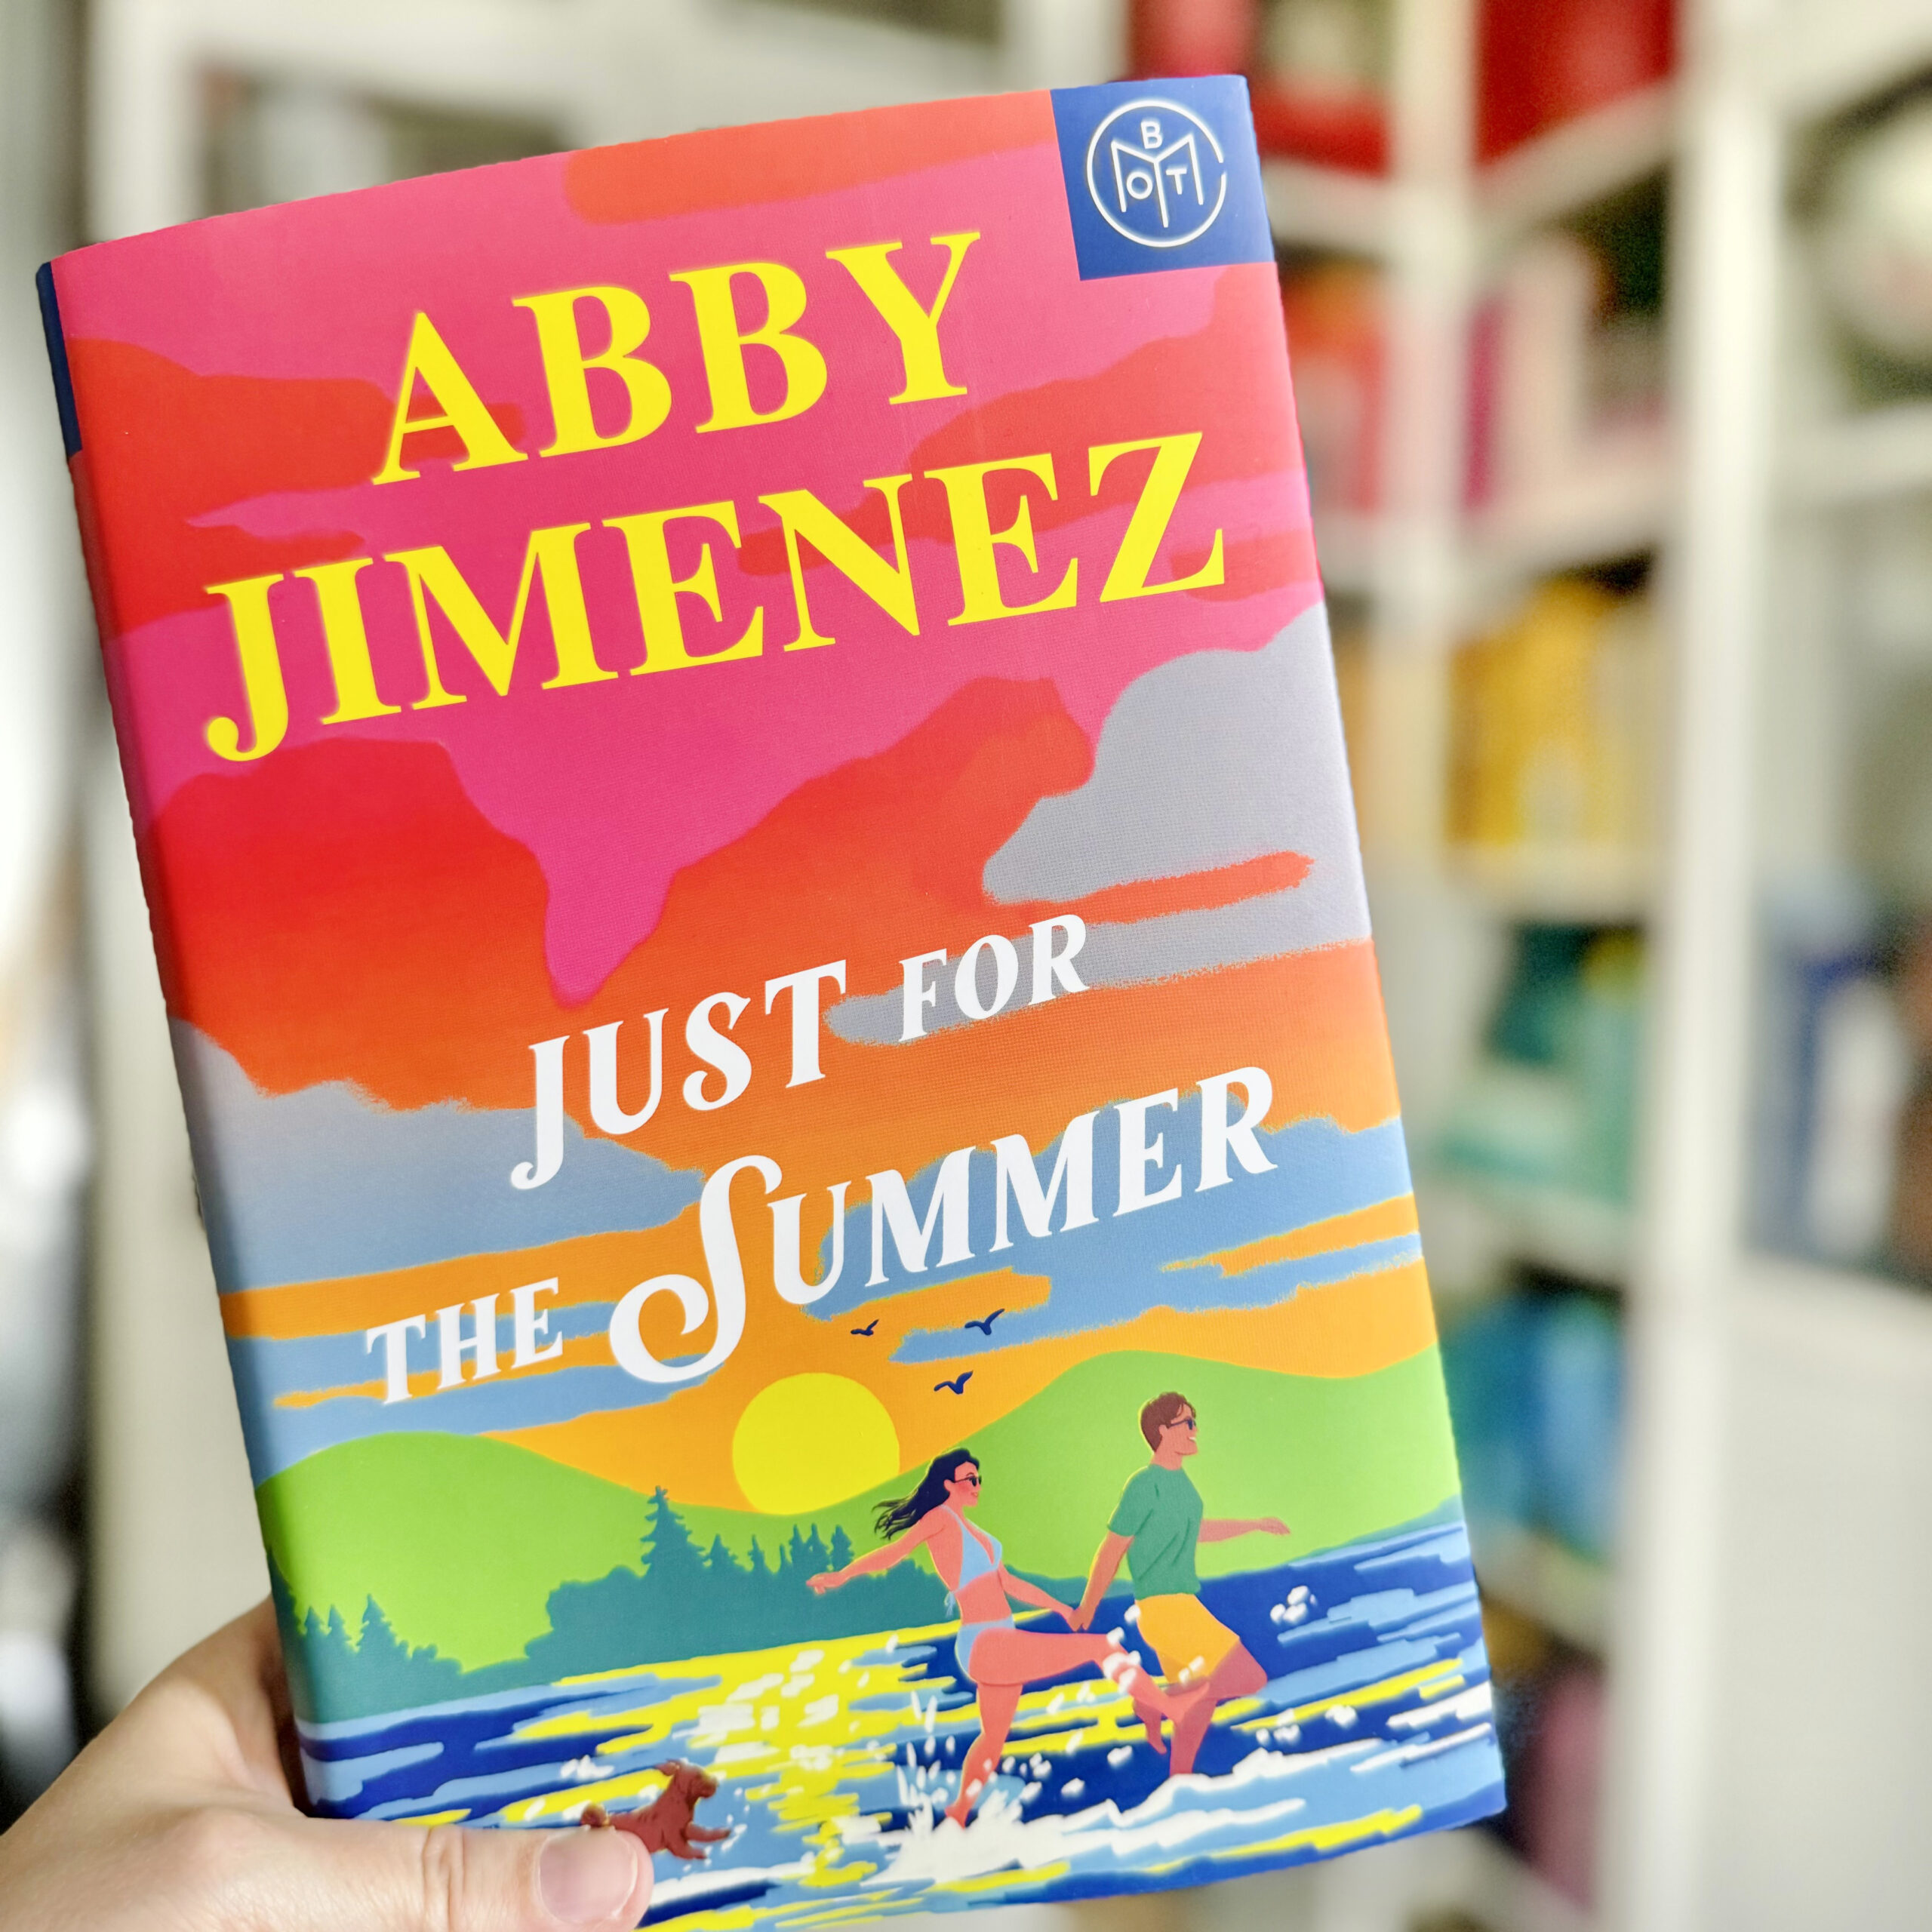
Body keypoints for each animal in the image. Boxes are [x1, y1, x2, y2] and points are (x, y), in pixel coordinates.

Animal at [575, 1761, 726, 1862]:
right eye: (699, 1776)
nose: (717, 1783)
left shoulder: (687, 1828)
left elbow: (704, 1833)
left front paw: (723, 1832)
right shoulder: (674, 1838)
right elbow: (685, 1849)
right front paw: (699, 1853)